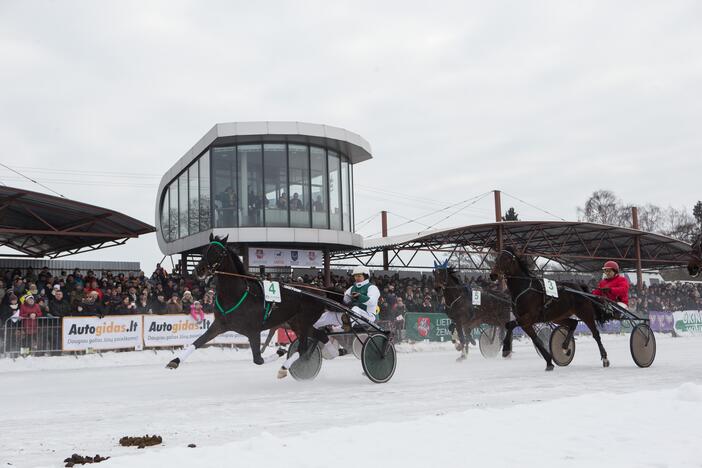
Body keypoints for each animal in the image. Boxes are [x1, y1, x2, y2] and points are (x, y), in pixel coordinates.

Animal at [168, 234, 330, 372]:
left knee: (303, 348)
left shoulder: (254, 331)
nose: (199, 270)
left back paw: (286, 366)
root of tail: (320, 292)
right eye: (205, 250)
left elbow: (258, 359)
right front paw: (175, 361)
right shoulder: (219, 324)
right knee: (321, 336)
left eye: (219, 251)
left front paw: (280, 352)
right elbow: (198, 341)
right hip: (296, 323)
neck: (237, 294)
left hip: (304, 321)